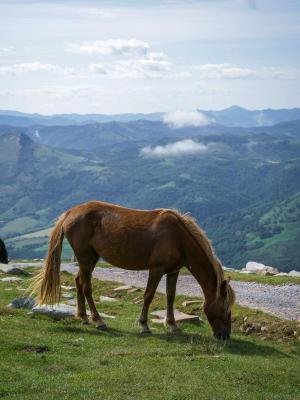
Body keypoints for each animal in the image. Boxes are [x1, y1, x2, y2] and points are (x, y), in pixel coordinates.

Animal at [32, 202, 234, 340]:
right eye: (225, 309)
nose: (224, 336)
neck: (178, 238)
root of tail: (70, 212)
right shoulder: (156, 269)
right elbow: (148, 295)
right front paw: (144, 325)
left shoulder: (173, 271)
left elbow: (170, 297)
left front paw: (173, 326)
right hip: (85, 257)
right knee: (87, 287)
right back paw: (98, 321)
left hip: (91, 258)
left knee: (79, 282)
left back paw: (84, 317)